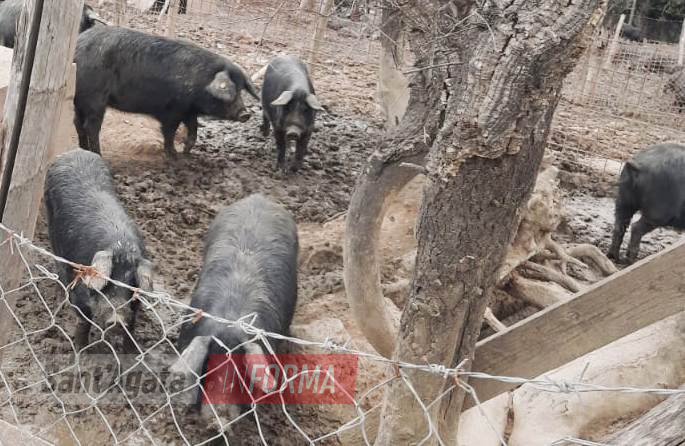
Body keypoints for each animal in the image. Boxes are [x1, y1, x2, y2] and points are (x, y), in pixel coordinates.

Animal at [44, 148, 154, 350]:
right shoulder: (80, 289)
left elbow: (132, 327)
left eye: (132, 282)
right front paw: (80, 350)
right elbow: (83, 322)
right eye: (107, 281)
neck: (121, 247)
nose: (117, 321)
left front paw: (131, 352)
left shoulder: (135, 305)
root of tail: (74, 151)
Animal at [73, 26, 260, 158]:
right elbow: (170, 132)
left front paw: (187, 152)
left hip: (80, 100)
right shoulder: (173, 110)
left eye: (241, 90)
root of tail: (77, 48)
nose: (246, 114)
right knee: (91, 126)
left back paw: (84, 150)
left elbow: (193, 129)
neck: (200, 82)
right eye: (232, 91)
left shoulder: (188, 110)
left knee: (78, 123)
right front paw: (174, 155)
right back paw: (98, 155)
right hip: (95, 98)